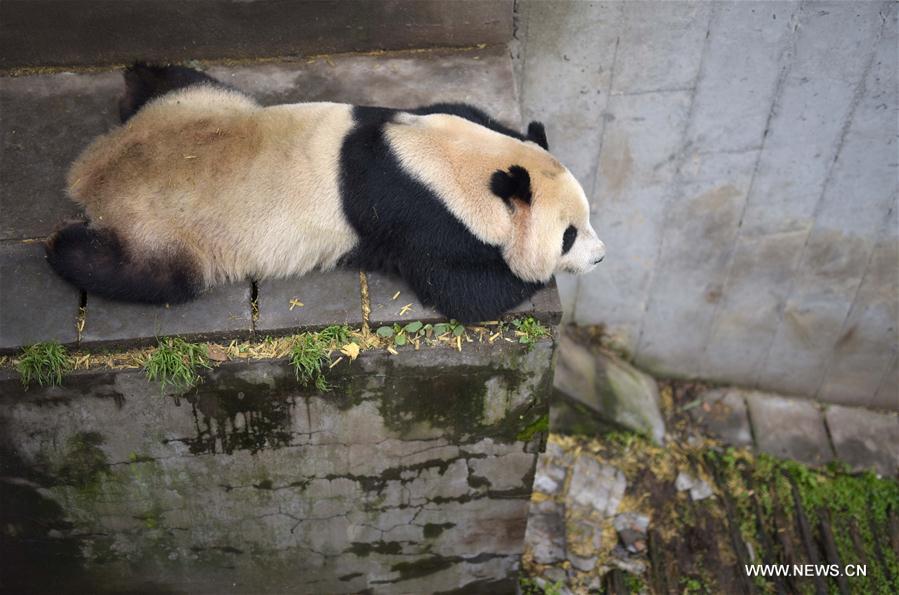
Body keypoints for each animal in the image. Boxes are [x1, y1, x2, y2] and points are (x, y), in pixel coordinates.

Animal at [45, 64, 608, 324]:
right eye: (568, 235)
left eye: (587, 220)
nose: (601, 257)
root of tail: (92, 172)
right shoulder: (422, 220)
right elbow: (461, 292)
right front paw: (530, 278)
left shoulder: (441, 120)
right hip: (168, 233)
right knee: (146, 275)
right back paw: (62, 245)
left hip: (200, 101)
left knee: (168, 78)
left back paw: (132, 85)